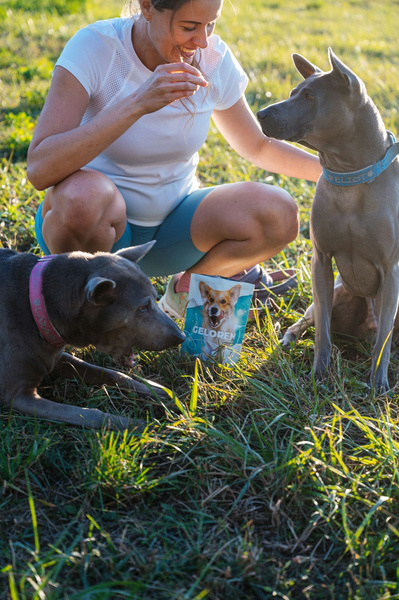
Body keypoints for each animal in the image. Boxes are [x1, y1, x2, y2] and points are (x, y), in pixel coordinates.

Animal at [0, 243, 185, 432]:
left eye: (156, 299)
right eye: (142, 308)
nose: (182, 336)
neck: (40, 304)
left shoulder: (58, 357)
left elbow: (113, 374)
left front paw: (158, 392)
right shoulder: (18, 395)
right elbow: (89, 414)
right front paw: (135, 425)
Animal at [258, 49, 399, 392]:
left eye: (309, 96)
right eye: (293, 92)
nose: (260, 113)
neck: (350, 176)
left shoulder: (391, 272)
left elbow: (384, 340)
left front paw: (379, 383)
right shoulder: (320, 261)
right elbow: (322, 328)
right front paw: (318, 373)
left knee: (380, 332)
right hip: (337, 294)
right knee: (309, 320)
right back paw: (289, 341)